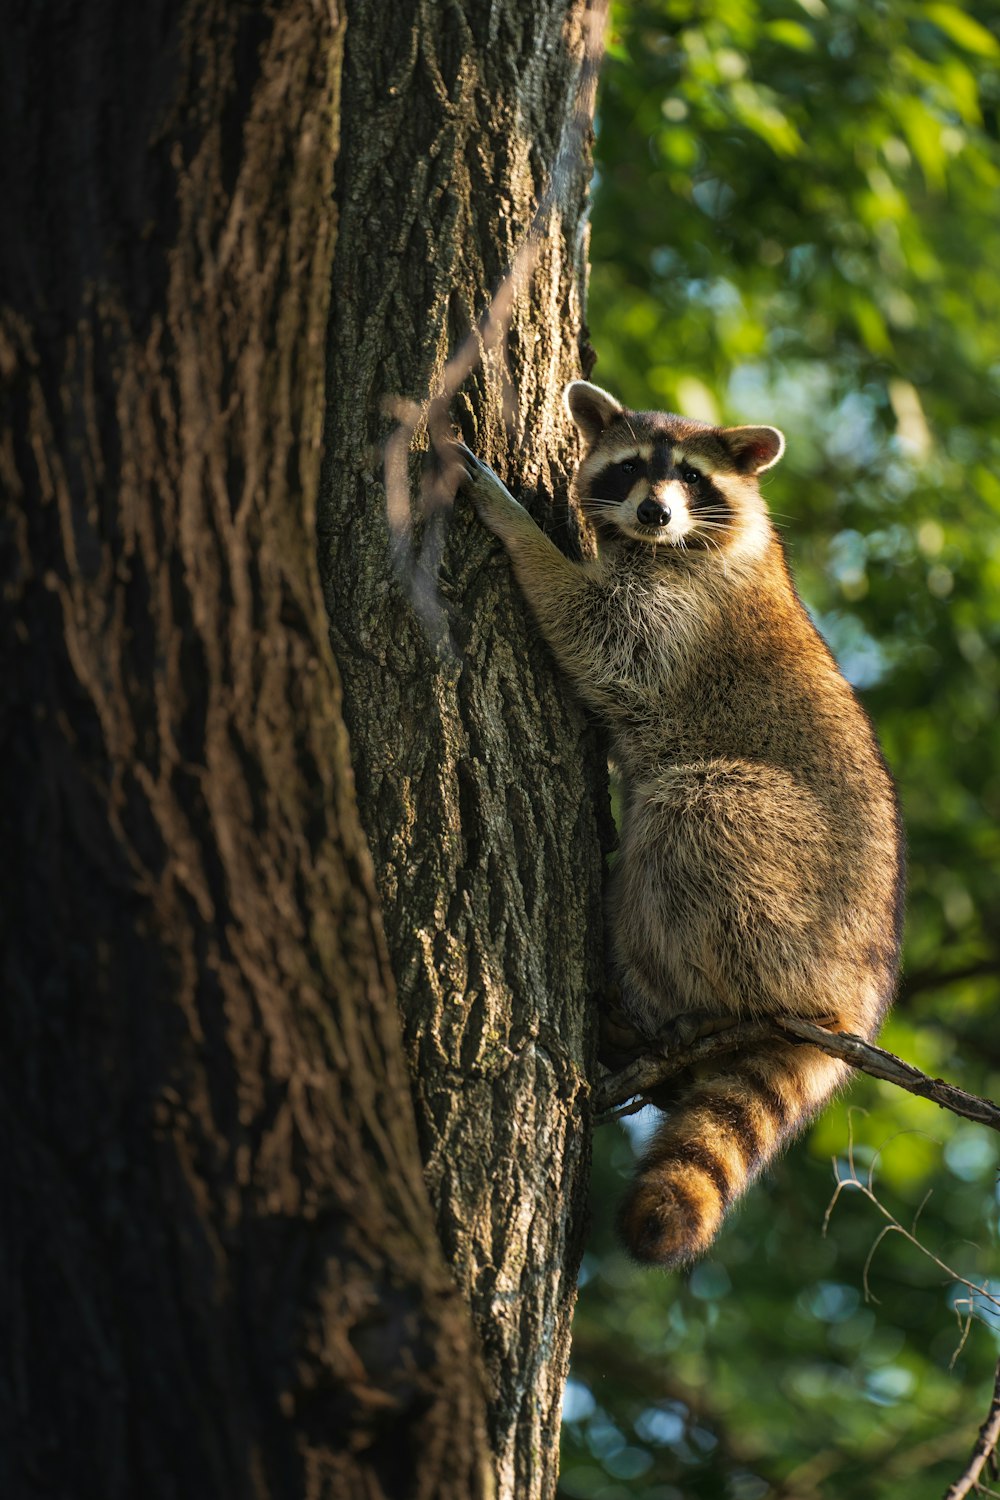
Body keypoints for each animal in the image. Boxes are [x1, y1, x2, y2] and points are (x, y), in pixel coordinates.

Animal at [461, 384, 905, 1266]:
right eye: (633, 467)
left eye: (693, 479)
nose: (655, 512)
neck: (662, 545)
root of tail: (854, 995)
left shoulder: (685, 609)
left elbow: (599, 631)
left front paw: (517, 528)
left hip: (790, 875)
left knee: (691, 815)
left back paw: (655, 999)